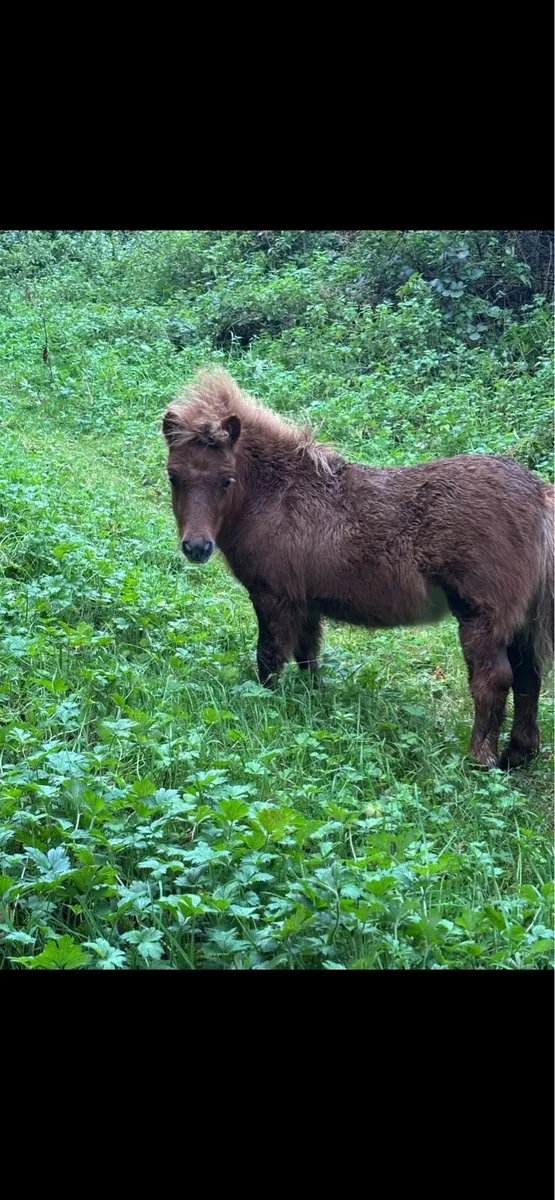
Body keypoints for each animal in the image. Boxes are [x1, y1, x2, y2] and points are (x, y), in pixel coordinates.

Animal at [163, 369, 554, 770]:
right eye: (173, 476)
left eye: (227, 479)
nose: (196, 547)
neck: (279, 496)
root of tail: (538, 496)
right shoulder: (306, 602)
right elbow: (307, 654)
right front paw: (312, 700)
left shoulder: (272, 596)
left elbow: (269, 656)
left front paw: (263, 703)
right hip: (519, 621)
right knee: (529, 676)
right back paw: (518, 754)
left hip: (481, 617)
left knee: (494, 680)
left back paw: (480, 760)